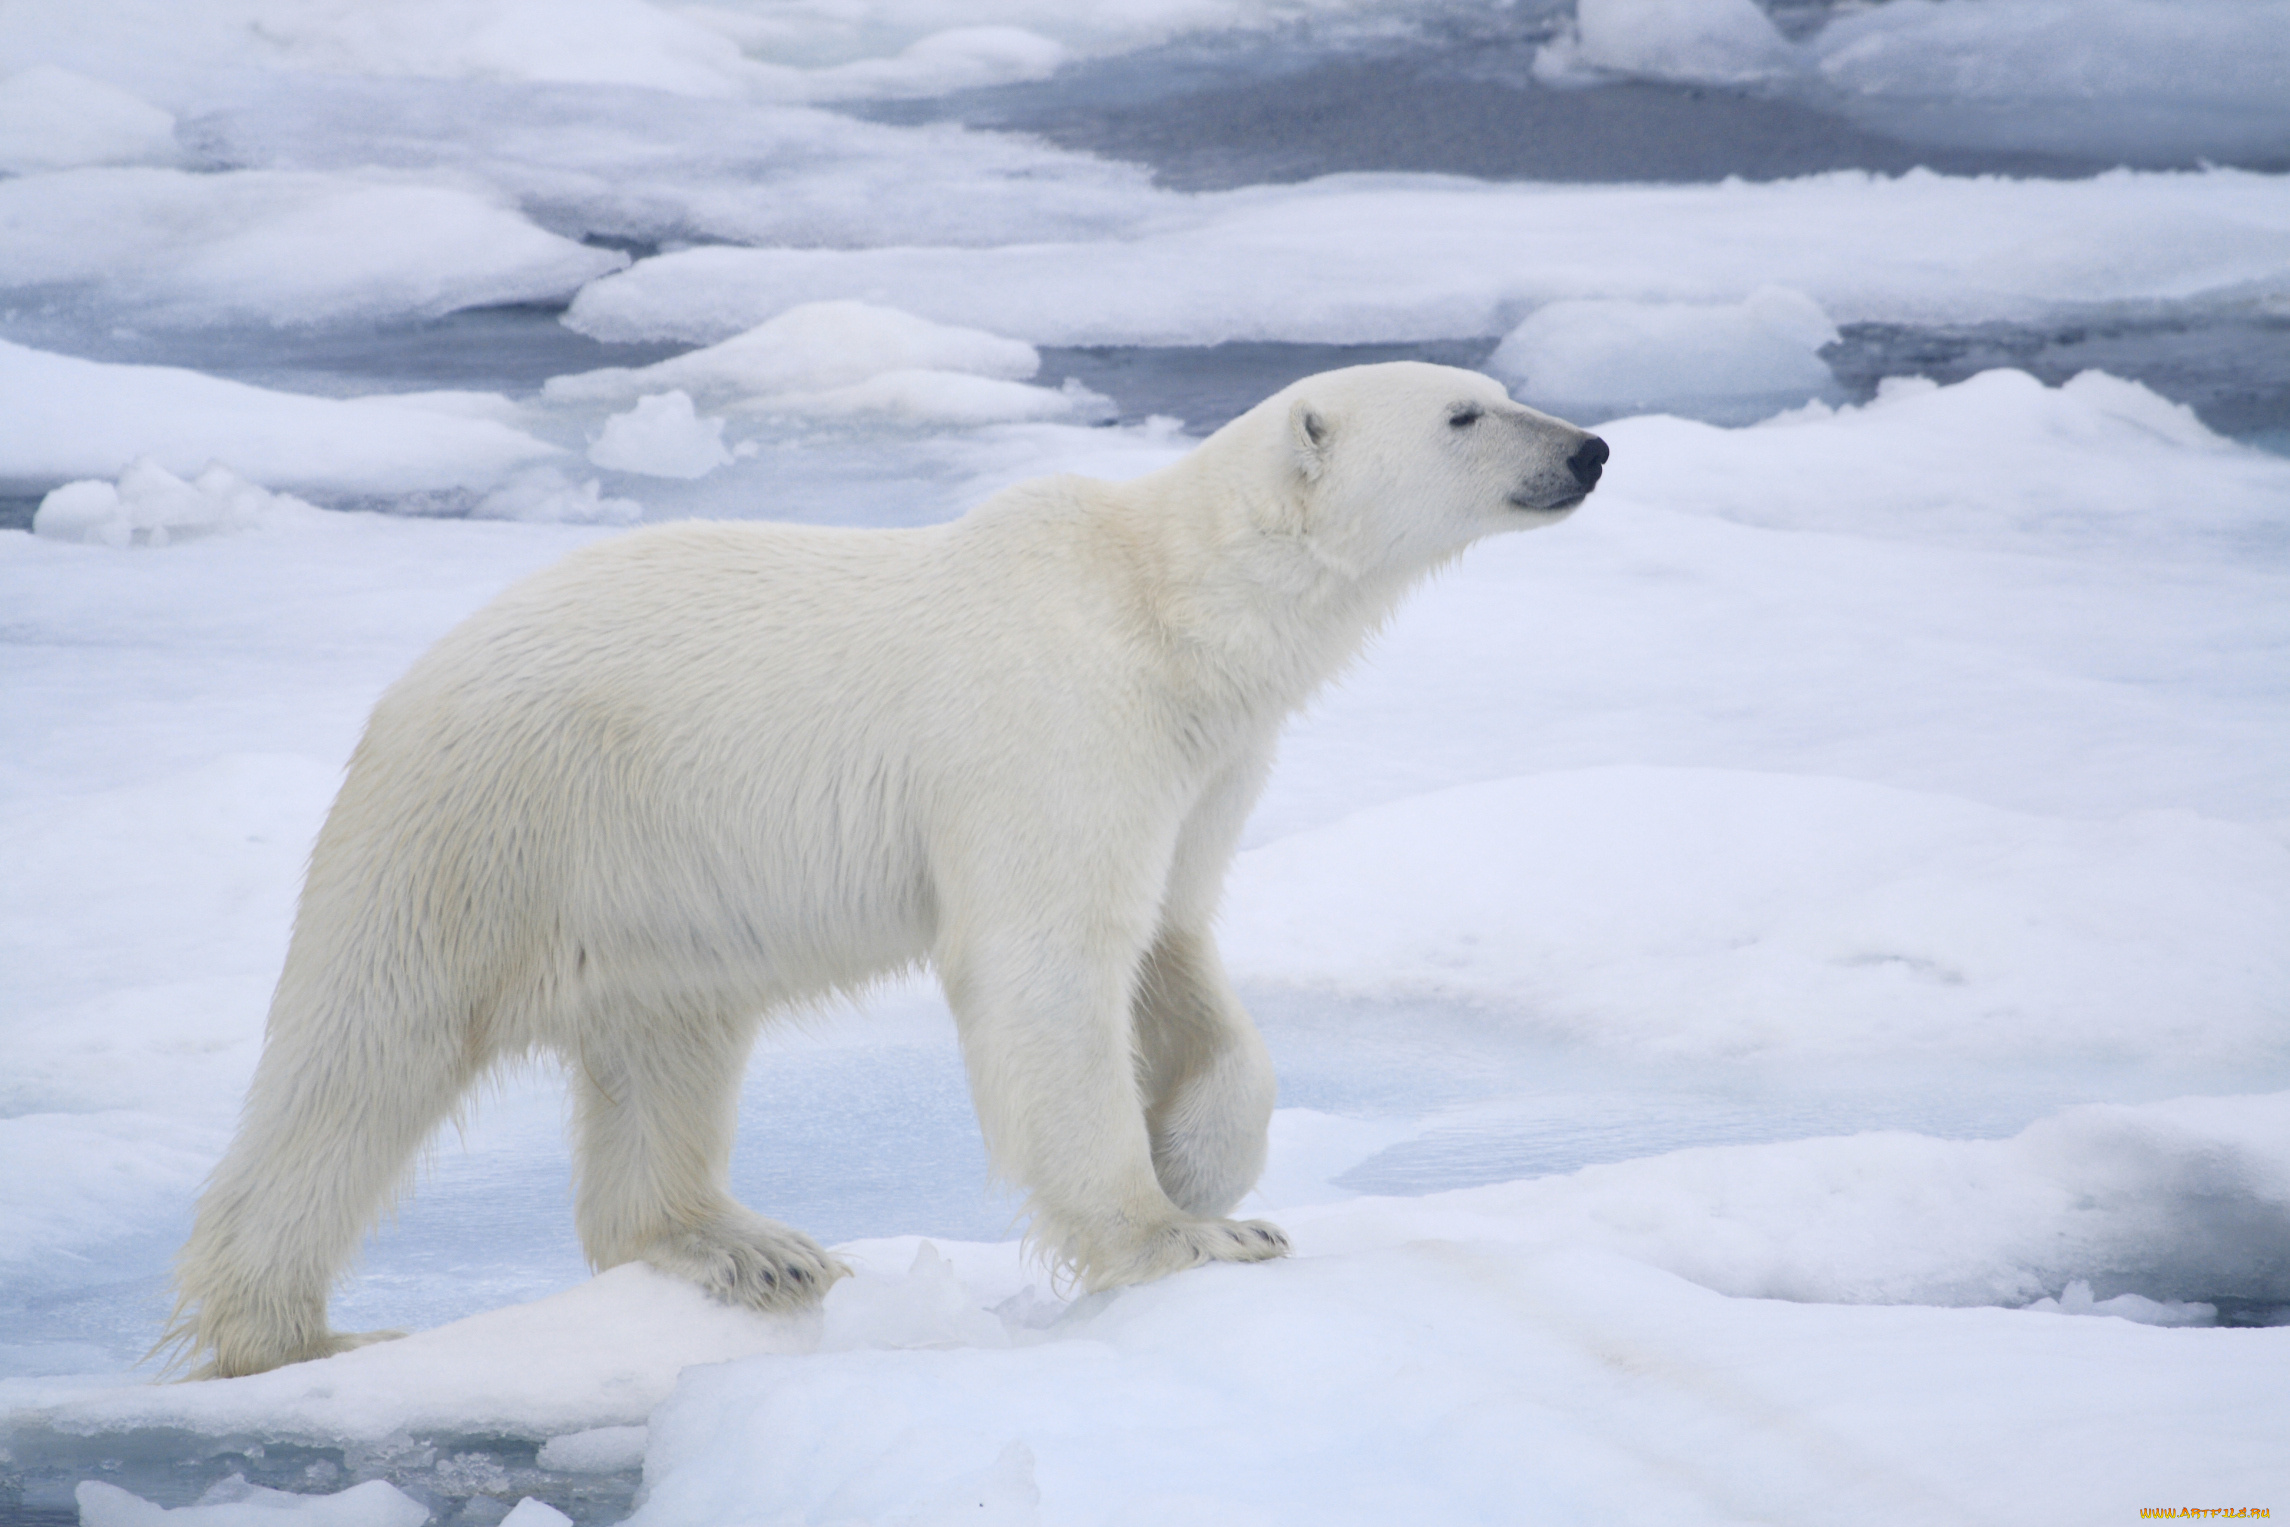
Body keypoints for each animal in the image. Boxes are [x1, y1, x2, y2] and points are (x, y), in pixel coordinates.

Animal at [166, 364, 1612, 1382]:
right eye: (1466, 411)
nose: (1589, 447)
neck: (1168, 606)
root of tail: (410, 683)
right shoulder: (1053, 714)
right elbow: (1048, 959)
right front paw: (1174, 1235)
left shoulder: (1202, 760)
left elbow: (1172, 943)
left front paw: (1209, 1171)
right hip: (490, 823)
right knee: (365, 1053)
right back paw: (292, 1333)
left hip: (653, 888)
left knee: (668, 1050)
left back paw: (744, 1244)